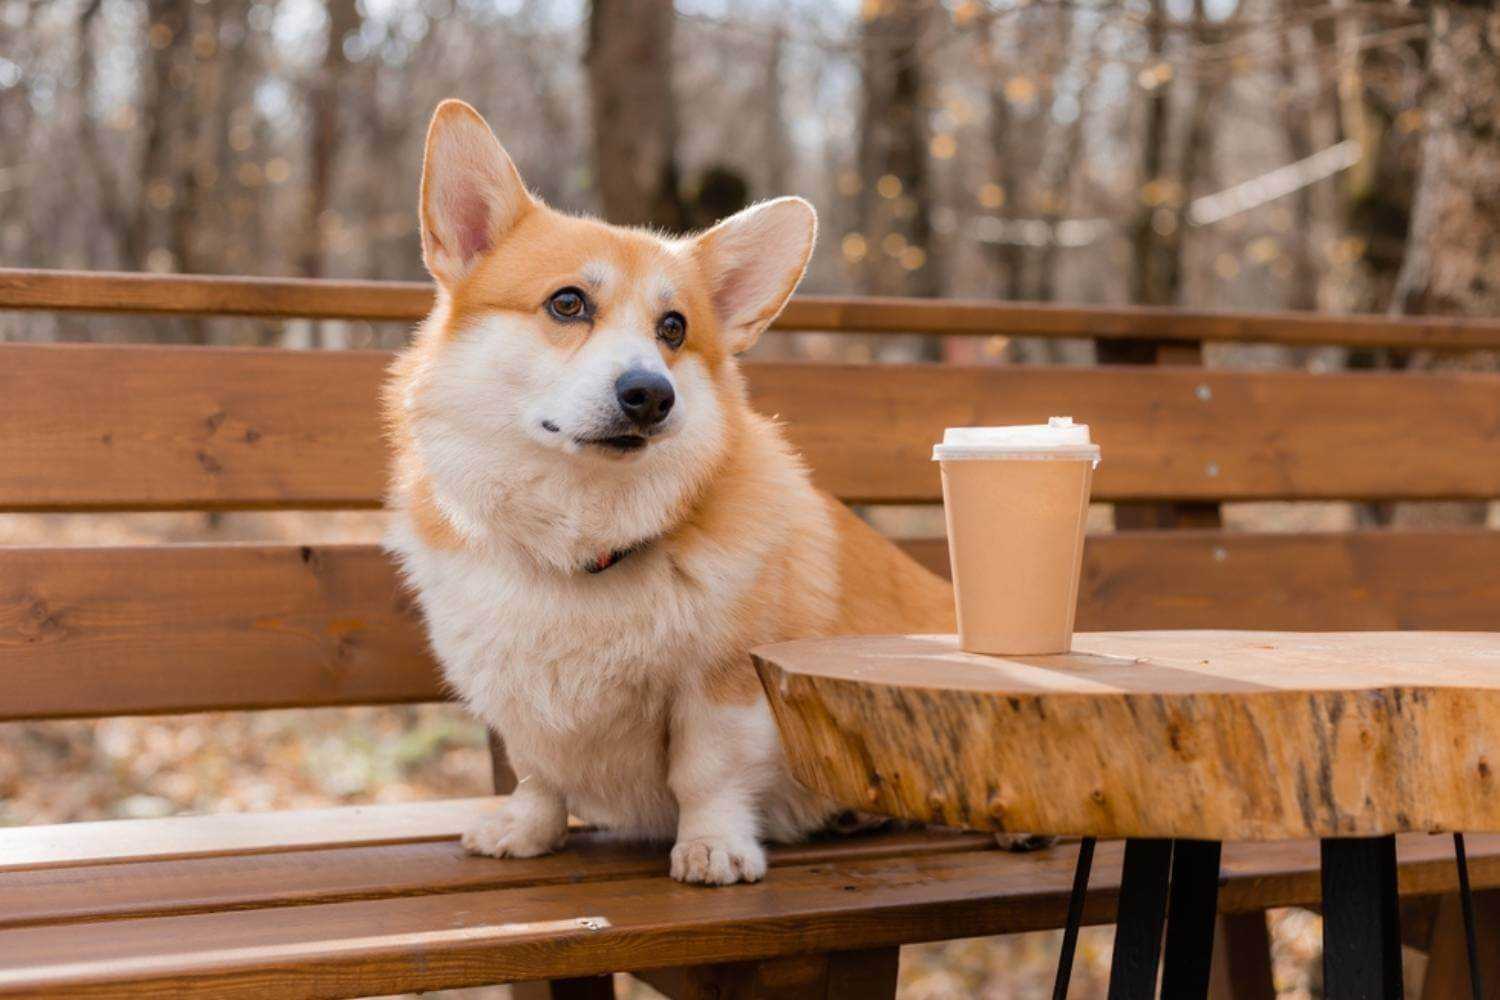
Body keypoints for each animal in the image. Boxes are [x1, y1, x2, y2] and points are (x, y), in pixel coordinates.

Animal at [381, 99, 954, 881]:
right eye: (568, 303)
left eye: (674, 328)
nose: (651, 394)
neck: (583, 540)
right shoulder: (516, 698)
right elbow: (537, 773)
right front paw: (528, 831)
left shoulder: (723, 685)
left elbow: (705, 774)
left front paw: (712, 848)